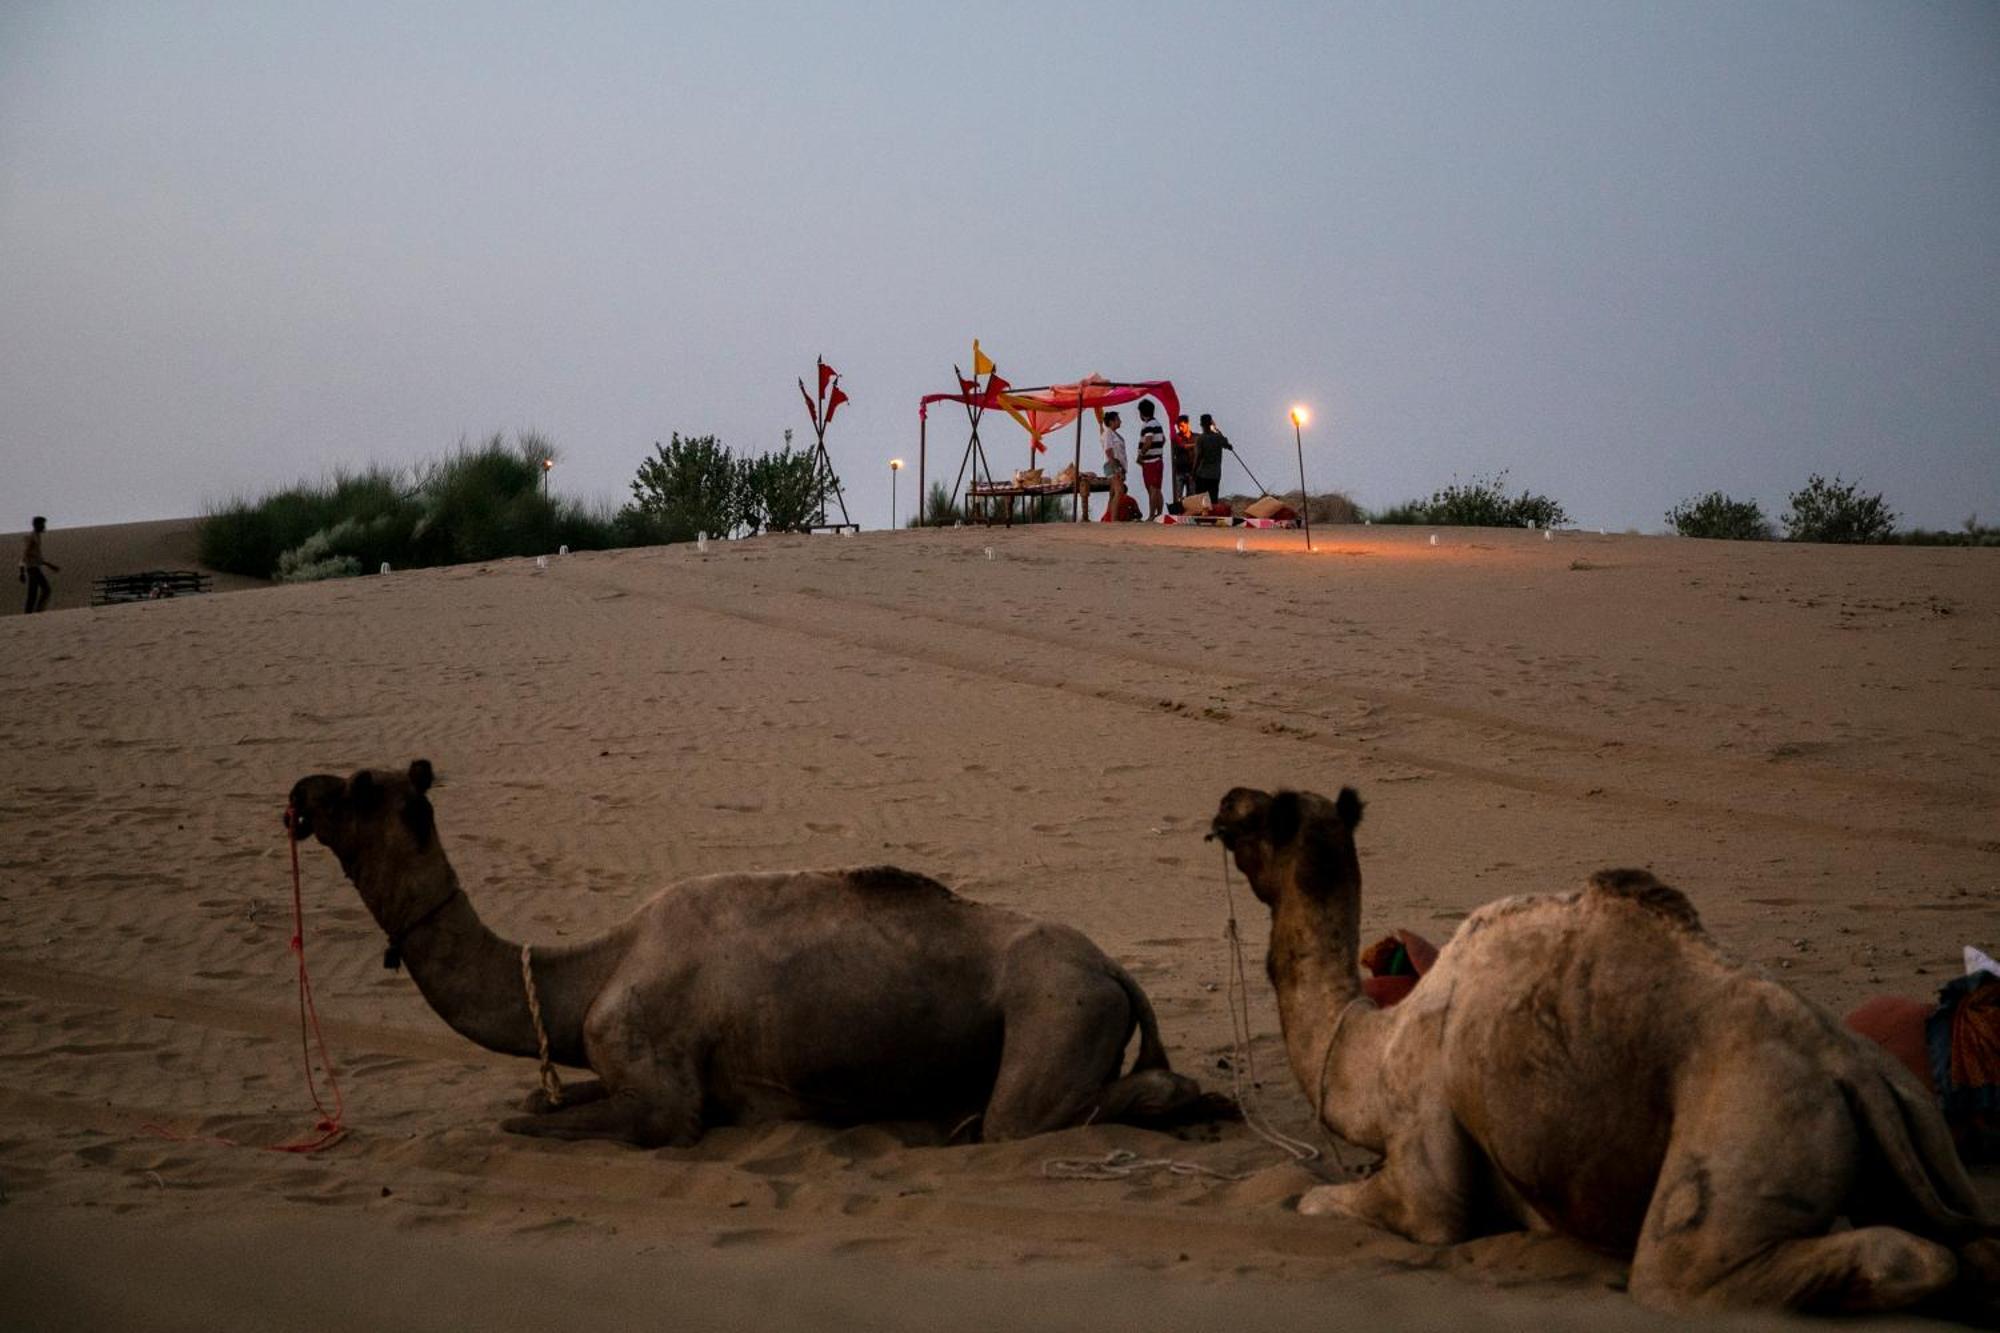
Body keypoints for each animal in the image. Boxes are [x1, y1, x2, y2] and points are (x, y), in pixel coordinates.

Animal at [284, 756, 1200, 1144]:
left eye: (358, 788)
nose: (298, 792)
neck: (588, 974)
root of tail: (1113, 967)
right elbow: (536, 1105)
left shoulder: (661, 1089)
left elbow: (546, 1122)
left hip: (1057, 1008)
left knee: (1026, 1117)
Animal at [1208, 784, 1992, 1312]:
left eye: (1265, 813)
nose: (1223, 802)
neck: (1369, 1048)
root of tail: (1849, 1067)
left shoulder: (1424, 1140)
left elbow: (1331, 1203)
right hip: (1922, 1134)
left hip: (1754, 1130)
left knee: (1686, 1274)